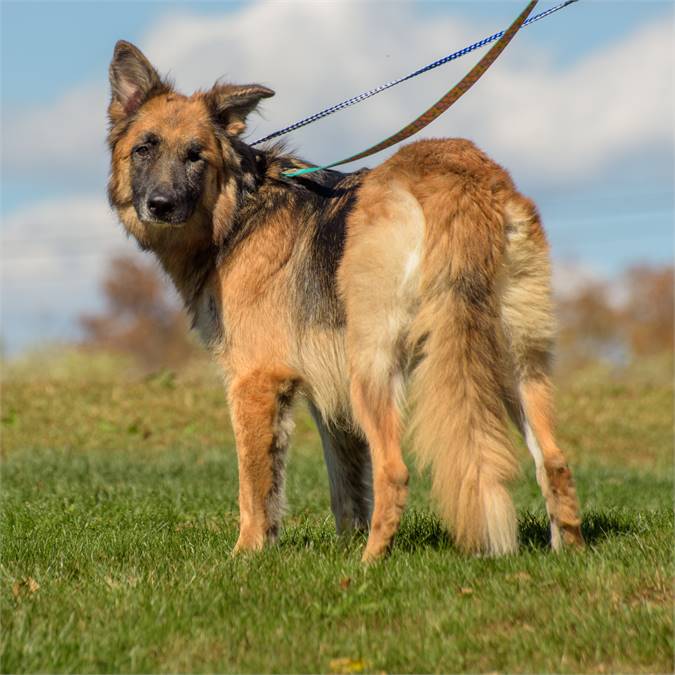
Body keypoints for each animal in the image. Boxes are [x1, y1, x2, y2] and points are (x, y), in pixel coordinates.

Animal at [108, 39, 584, 564]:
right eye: (144, 148)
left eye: (195, 156)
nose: (161, 205)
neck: (238, 210)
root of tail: (458, 174)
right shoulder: (326, 400)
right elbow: (347, 491)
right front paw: (341, 540)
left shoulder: (255, 382)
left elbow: (255, 489)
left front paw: (247, 555)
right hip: (513, 362)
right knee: (554, 460)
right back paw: (569, 552)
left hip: (374, 367)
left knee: (395, 471)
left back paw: (369, 564)